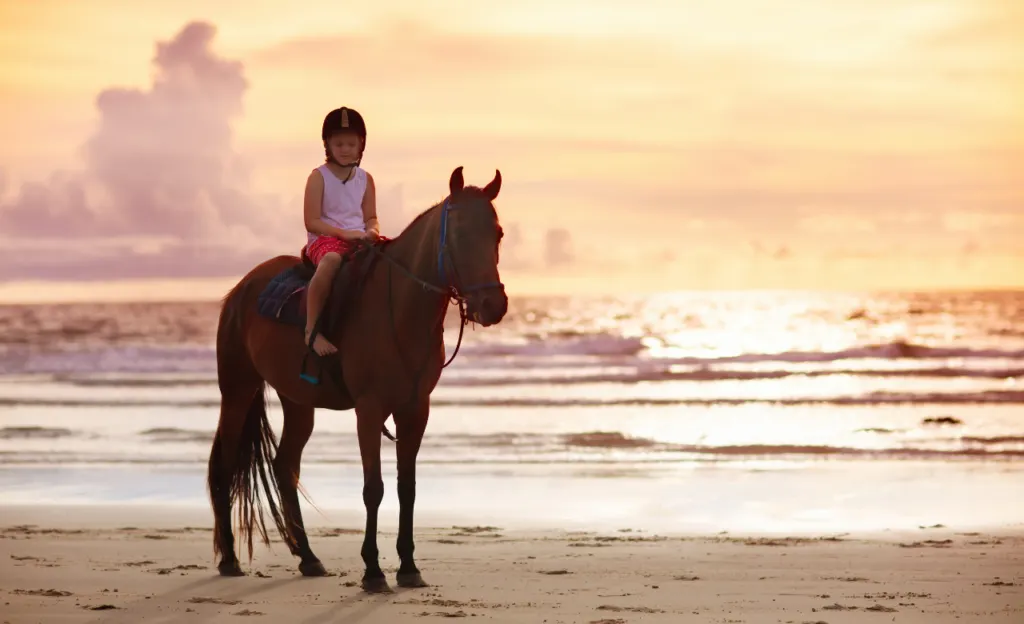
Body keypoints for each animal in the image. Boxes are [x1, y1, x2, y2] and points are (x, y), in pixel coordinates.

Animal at [206, 166, 507, 593]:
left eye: (497, 234)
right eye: (460, 234)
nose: (493, 306)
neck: (400, 308)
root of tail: (241, 289)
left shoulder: (415, 410)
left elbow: (406, 487)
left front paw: (408, 566)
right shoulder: (369, 410)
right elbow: (373, 488)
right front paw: (373, 570)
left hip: (298, 402)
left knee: (285, 467)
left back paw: (308, 557)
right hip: (237, 390)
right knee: (225, 464)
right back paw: (230, 559)